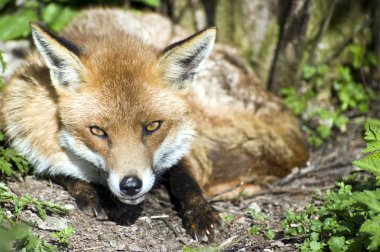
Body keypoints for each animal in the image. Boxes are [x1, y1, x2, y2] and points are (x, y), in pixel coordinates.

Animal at [0, 8, 308, 242]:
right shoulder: (22, 121)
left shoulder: (183, 140)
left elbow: (185, 178)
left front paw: (200, 213)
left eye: (152, 126)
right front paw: (92, 194)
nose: (130, 185)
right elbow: (61, 173)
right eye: (98, 131)